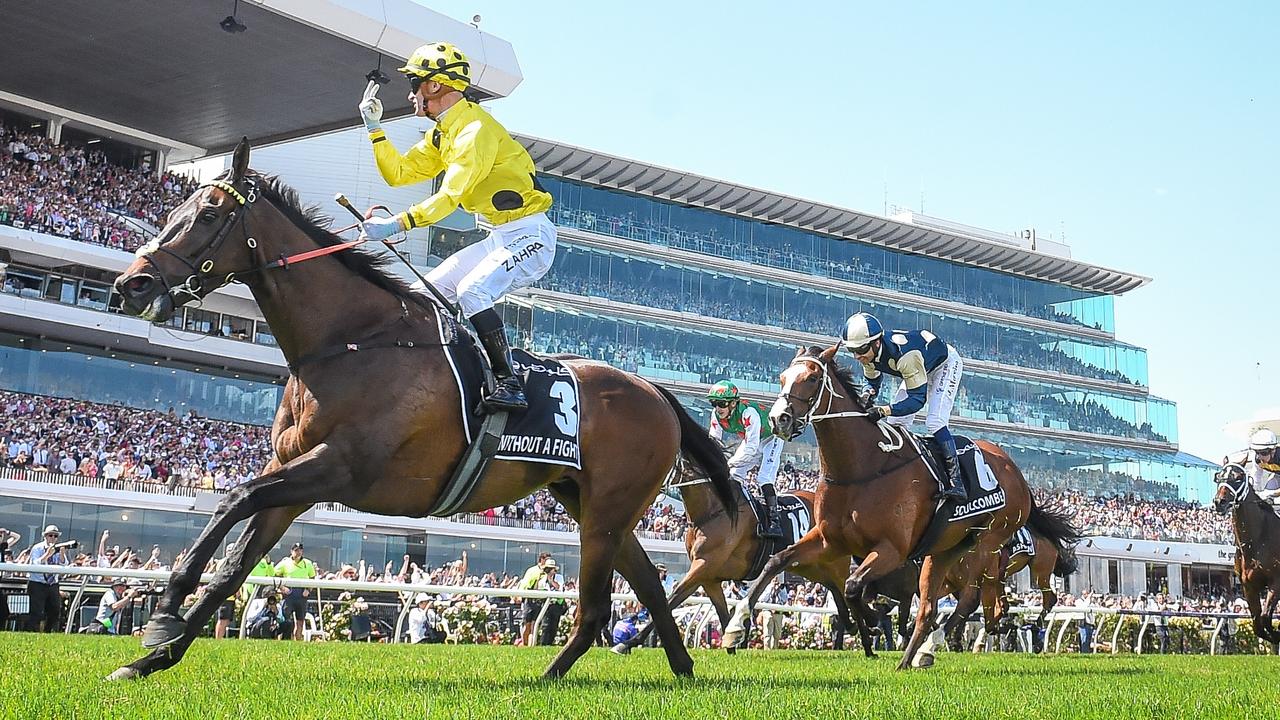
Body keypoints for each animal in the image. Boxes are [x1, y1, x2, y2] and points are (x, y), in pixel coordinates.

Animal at [107, 139, 742, 676]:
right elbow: (236, 564)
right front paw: (152, 657)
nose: (131, 285)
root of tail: (655, 392)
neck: (352, 340)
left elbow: (231, 500)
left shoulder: (340, 467)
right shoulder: (291, 475)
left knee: (597, 605)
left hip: (609, 507)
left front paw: (164, 610)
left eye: (209, 215)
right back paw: (675, 672)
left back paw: (552, 678)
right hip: (587, 500)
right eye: (176, 208)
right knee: (647, 586)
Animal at [727, 343, 1034, 666]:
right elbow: (778, 561)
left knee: (967, 598)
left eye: (811, 379)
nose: (779, 419)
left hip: (986, 543)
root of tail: (1014, 471)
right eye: (783, 377)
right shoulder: (829, 540)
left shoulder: (892, 549)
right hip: (945, 548)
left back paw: (927, 646)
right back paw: (915, 656)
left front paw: (871, 622)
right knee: (930, 608)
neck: (861, 469)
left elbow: (852, 586)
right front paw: (735, 628)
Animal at [1208, 461, 1280, 640]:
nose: (1219, 501)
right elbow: (1258, 624)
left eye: (1239, 477)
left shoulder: (1277, 581)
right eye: (1218, 477)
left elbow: (1266, 617)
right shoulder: (1249, 586)